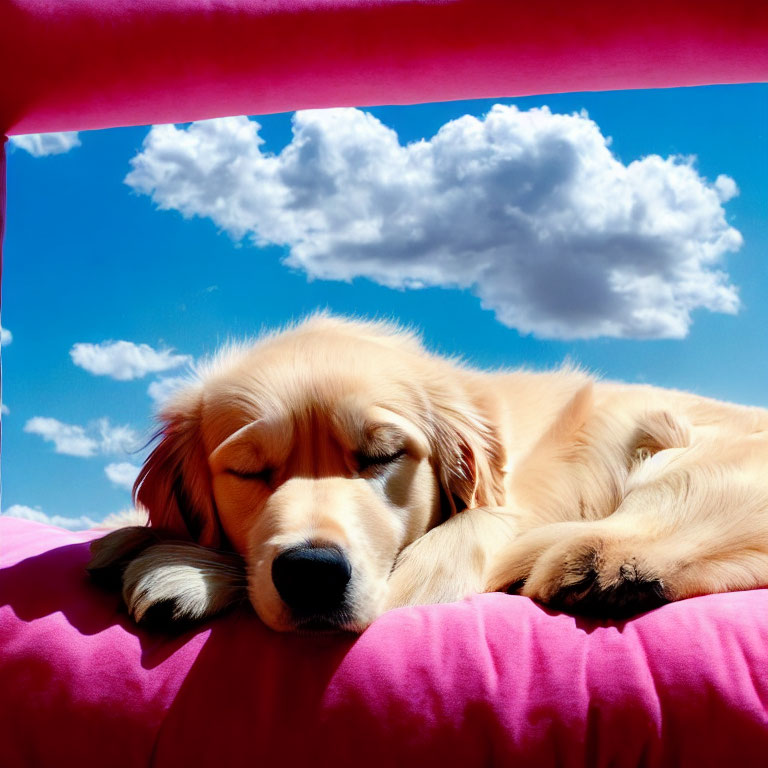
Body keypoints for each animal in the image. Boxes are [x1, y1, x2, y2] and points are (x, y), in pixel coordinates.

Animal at [87, 314, 768, 632]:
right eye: (252, 471)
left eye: (382, 457)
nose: (312, 574)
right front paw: (134, 540)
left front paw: (179, 567)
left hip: (674, 452)